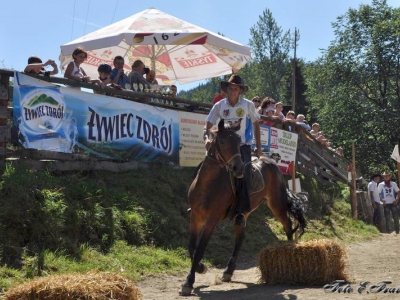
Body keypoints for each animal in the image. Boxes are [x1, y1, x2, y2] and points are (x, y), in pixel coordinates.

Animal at [179, 119, 306, 296]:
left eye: (238, 141)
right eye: (222, 141)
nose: (237, 167)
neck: (208, 185)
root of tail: (271, 162)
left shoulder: (212, 220)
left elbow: (199, 250)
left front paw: (189, 282)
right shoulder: (195, 216)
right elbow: (192, 247)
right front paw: (200, 269)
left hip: (276, 204)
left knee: (287, 225)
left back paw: (287, 252)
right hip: (244, 213)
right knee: (240, 238)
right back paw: (228, 271)